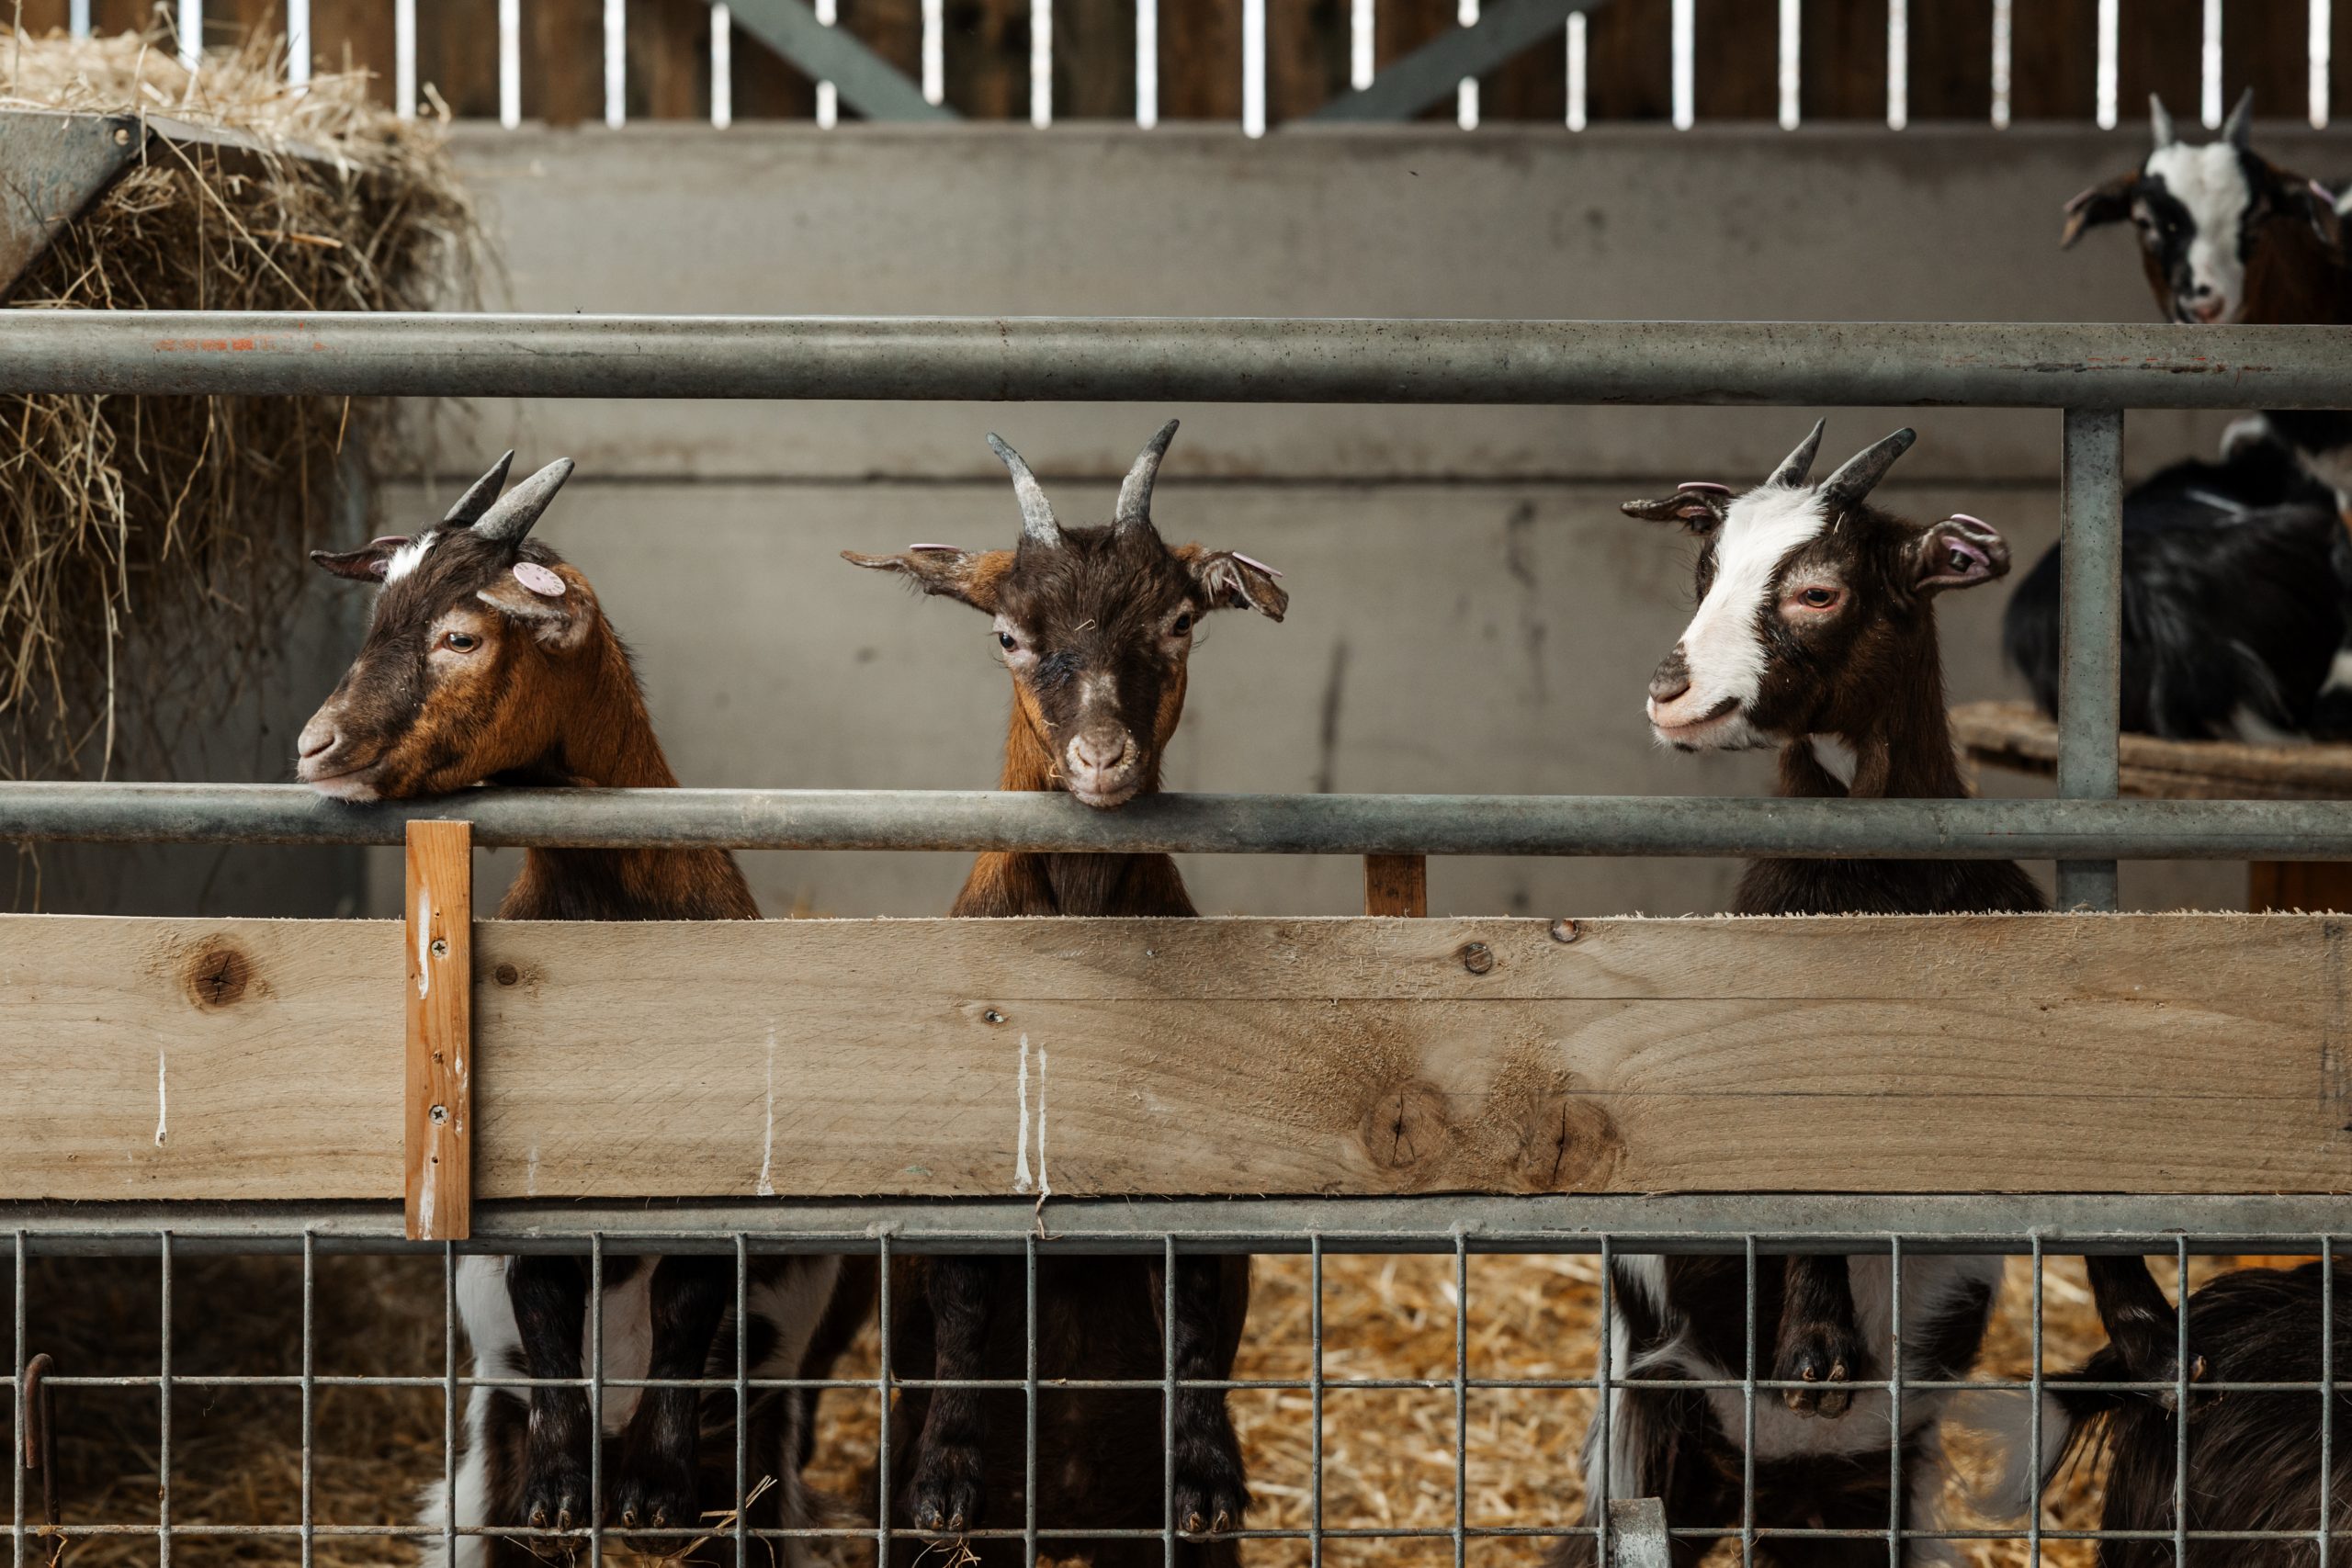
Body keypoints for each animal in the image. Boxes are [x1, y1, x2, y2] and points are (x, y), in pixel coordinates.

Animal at [299, 453, 872, 1566]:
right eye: (376, 612)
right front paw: (567, 1488)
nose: (315, 745)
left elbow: (689, 1300)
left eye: (461, 635)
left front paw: (649, 1488)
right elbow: (543, 1297)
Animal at [843, 420, 1282, 1568]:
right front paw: (948, 1480)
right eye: (1006, 633)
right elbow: (963, 1298)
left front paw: (1203, 1474)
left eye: (1179, 620)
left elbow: (1193, 1300)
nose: (1100, 757)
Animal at [1549, 423, 2195, 1566]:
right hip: (1658, 1443)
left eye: (1817, 590)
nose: (1672, 689)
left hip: (1861, 1495)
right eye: (1703, 570)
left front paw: (2156, 1340)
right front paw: (1816, 1353)